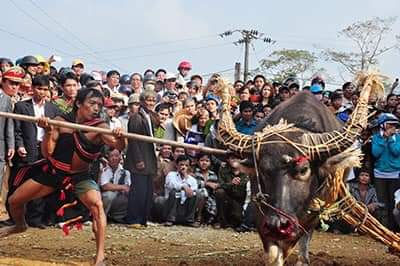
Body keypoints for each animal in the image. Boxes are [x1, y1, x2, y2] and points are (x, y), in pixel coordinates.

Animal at [214, 73, 382, 266]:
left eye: (304, 169)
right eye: (263, 171)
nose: (278, 225)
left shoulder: (313, 210)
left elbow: (299, 237)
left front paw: (300, 257)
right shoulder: (261, 209)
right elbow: (273, 253)